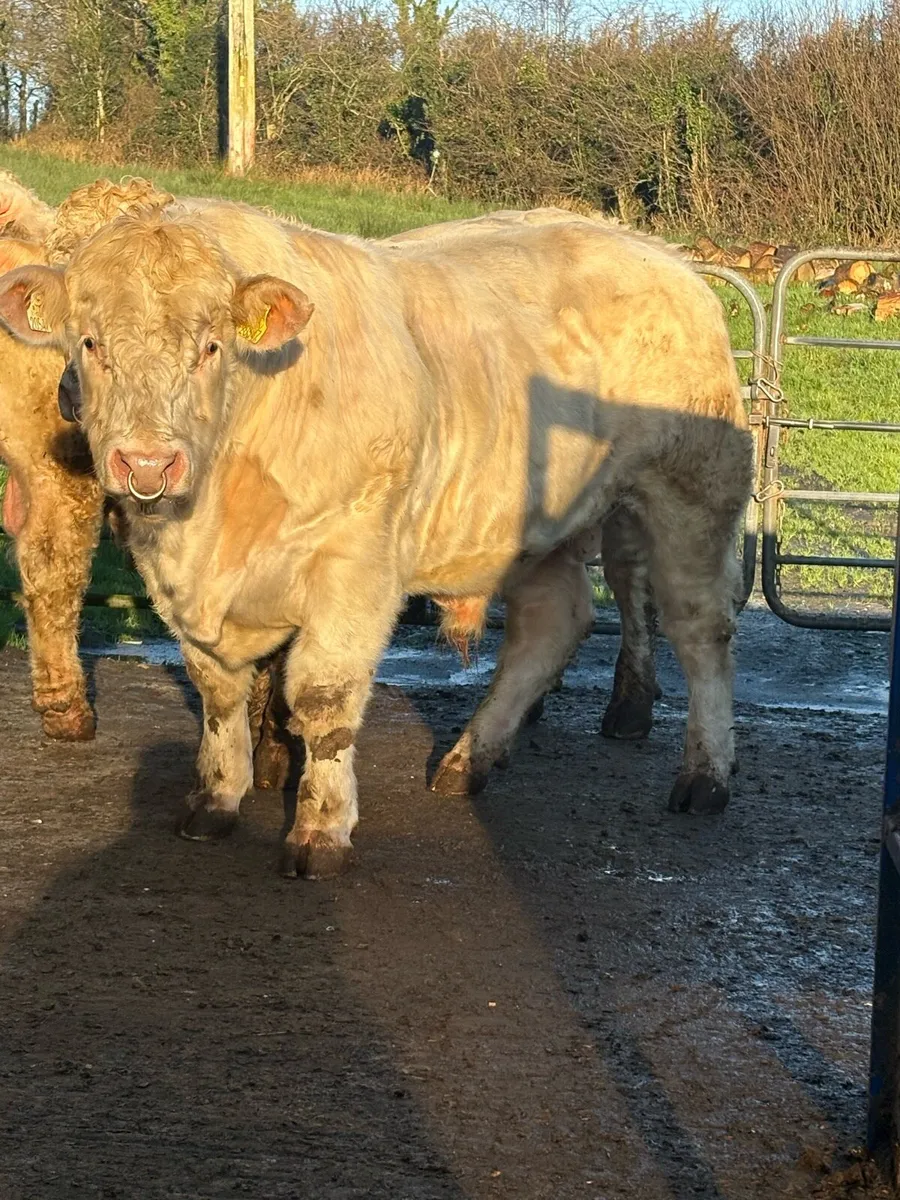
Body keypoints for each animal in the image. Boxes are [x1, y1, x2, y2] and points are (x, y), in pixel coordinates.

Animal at [0, 196, 752, 877]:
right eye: (90, 341)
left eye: (212, 346)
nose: (148, 463)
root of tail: (660, 254)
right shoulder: (175, 578)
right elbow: (218, 691)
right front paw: (215, 799)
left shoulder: (354, 562)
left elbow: (323, 699)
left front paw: (320, 831)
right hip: (535, 528)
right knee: (550, 626)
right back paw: (467, 761)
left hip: (691, 493)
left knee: (699, 629)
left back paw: (706, 777)